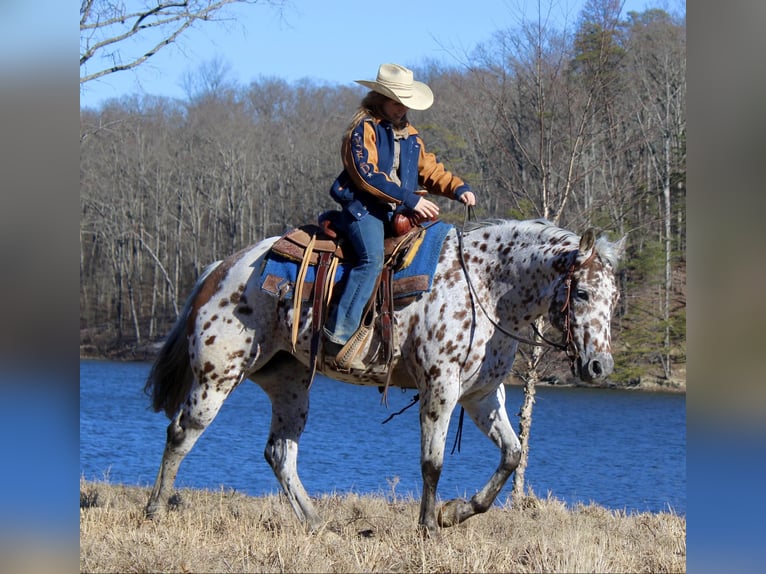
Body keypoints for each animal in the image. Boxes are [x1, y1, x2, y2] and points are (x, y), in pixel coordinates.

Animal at [146, 219, 632, 536]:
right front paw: (429, 528)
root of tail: (219, 270)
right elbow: (432, 463)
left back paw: (317, 524)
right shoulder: (440, 388)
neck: (484, 287)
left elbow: (512, 455)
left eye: (613, 297)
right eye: (582, 292)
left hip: (289, 386)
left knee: (280, 453)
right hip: (217, 378)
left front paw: (455, 513)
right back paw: (155, 511)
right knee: (180, 434)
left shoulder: (481, 396)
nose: (600, 367)